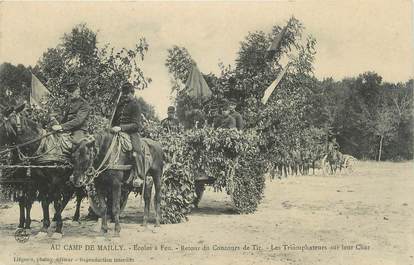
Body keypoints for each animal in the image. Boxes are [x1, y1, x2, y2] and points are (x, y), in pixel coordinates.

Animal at [0, 106, 77, 236]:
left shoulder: (52, 180)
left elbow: (54, 201)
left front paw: (58, 230)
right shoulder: (36, 181)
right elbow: (40, 202)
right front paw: (43, 227)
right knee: (68, 195)